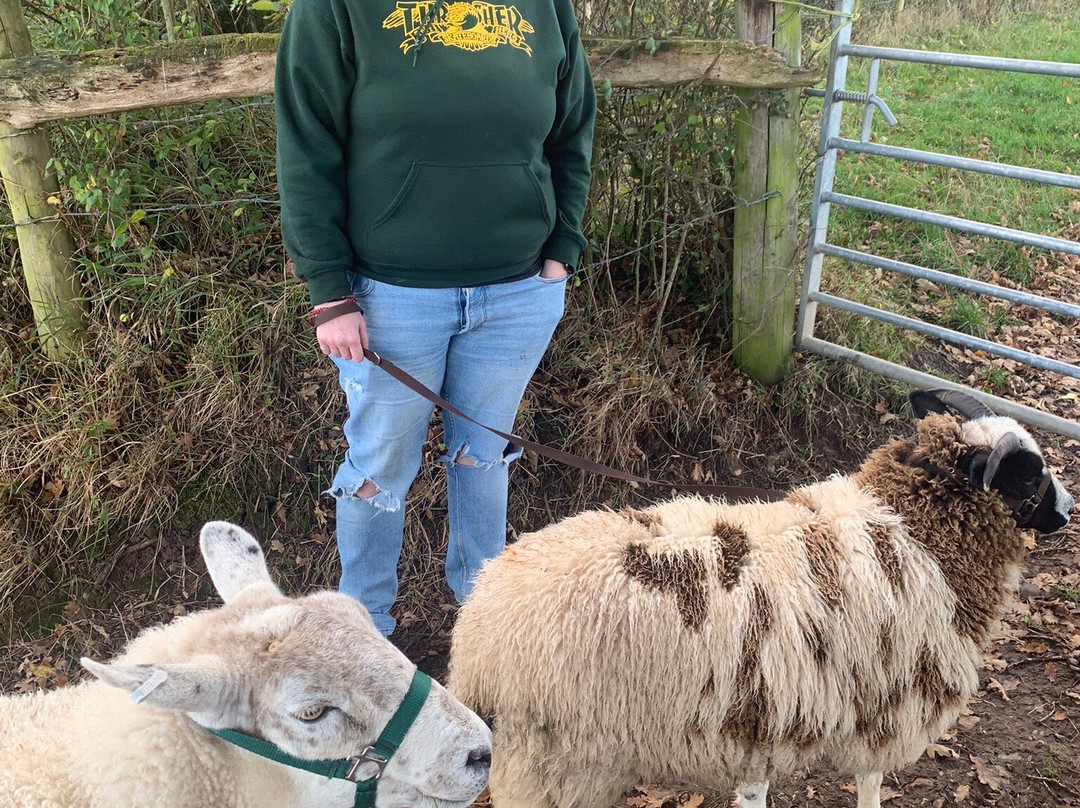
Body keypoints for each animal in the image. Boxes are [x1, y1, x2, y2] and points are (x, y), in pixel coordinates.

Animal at [449, 389, 1074, 808]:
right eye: (1029, 474)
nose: (1069, 511)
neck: (916, 528)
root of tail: (476, 634)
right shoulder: (888, 706)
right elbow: (870, 785)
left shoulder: (764, 713)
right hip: (549, 766)